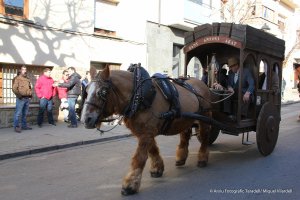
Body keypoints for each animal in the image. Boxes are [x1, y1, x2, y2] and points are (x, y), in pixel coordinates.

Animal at [81, 65, 212, 195]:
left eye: (103, 92)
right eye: (86, 91)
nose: (85, 119)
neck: (139, 95)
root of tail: (202, 84)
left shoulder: (147, 132)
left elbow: (139, 158)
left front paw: (130, 184)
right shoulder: (145, 132)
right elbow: (152, 150)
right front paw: (157, 168)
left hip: (205, 117)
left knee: (205, 136)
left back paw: (202, 158)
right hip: (185, 119)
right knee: (185, 135)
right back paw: (181, 158)